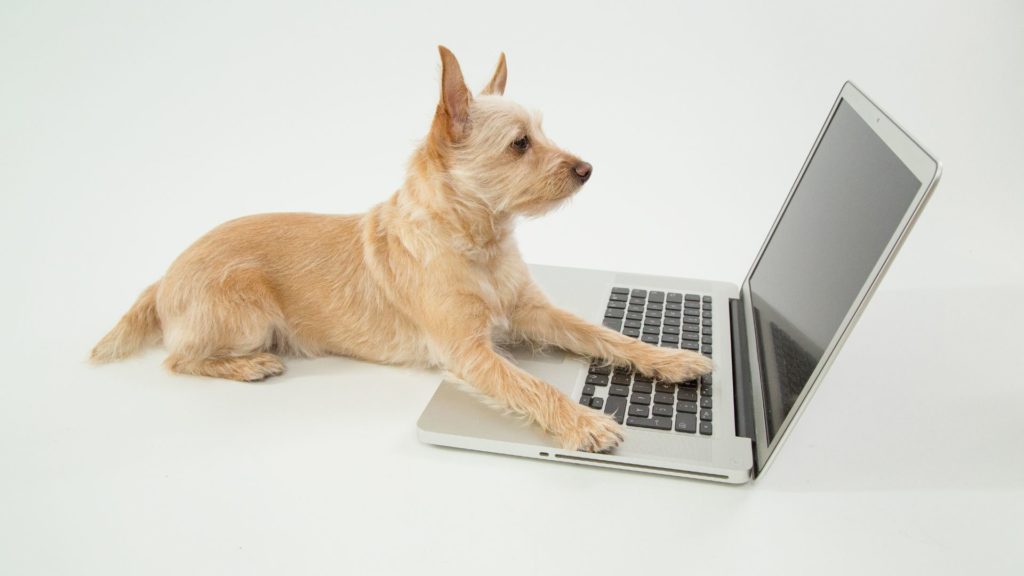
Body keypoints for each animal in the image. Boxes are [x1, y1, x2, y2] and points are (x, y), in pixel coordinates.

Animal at [90, 45, 712, 448]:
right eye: (519, 144)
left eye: (542, 132)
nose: (587, 169)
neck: (479, 243)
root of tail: (164, 278)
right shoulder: (469, 352)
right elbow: (530, 383)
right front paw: (582, 421)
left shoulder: (535, 313)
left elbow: (604, 334)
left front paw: (669, 357)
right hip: (244, 308)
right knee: (178, 358)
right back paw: (247, 367)